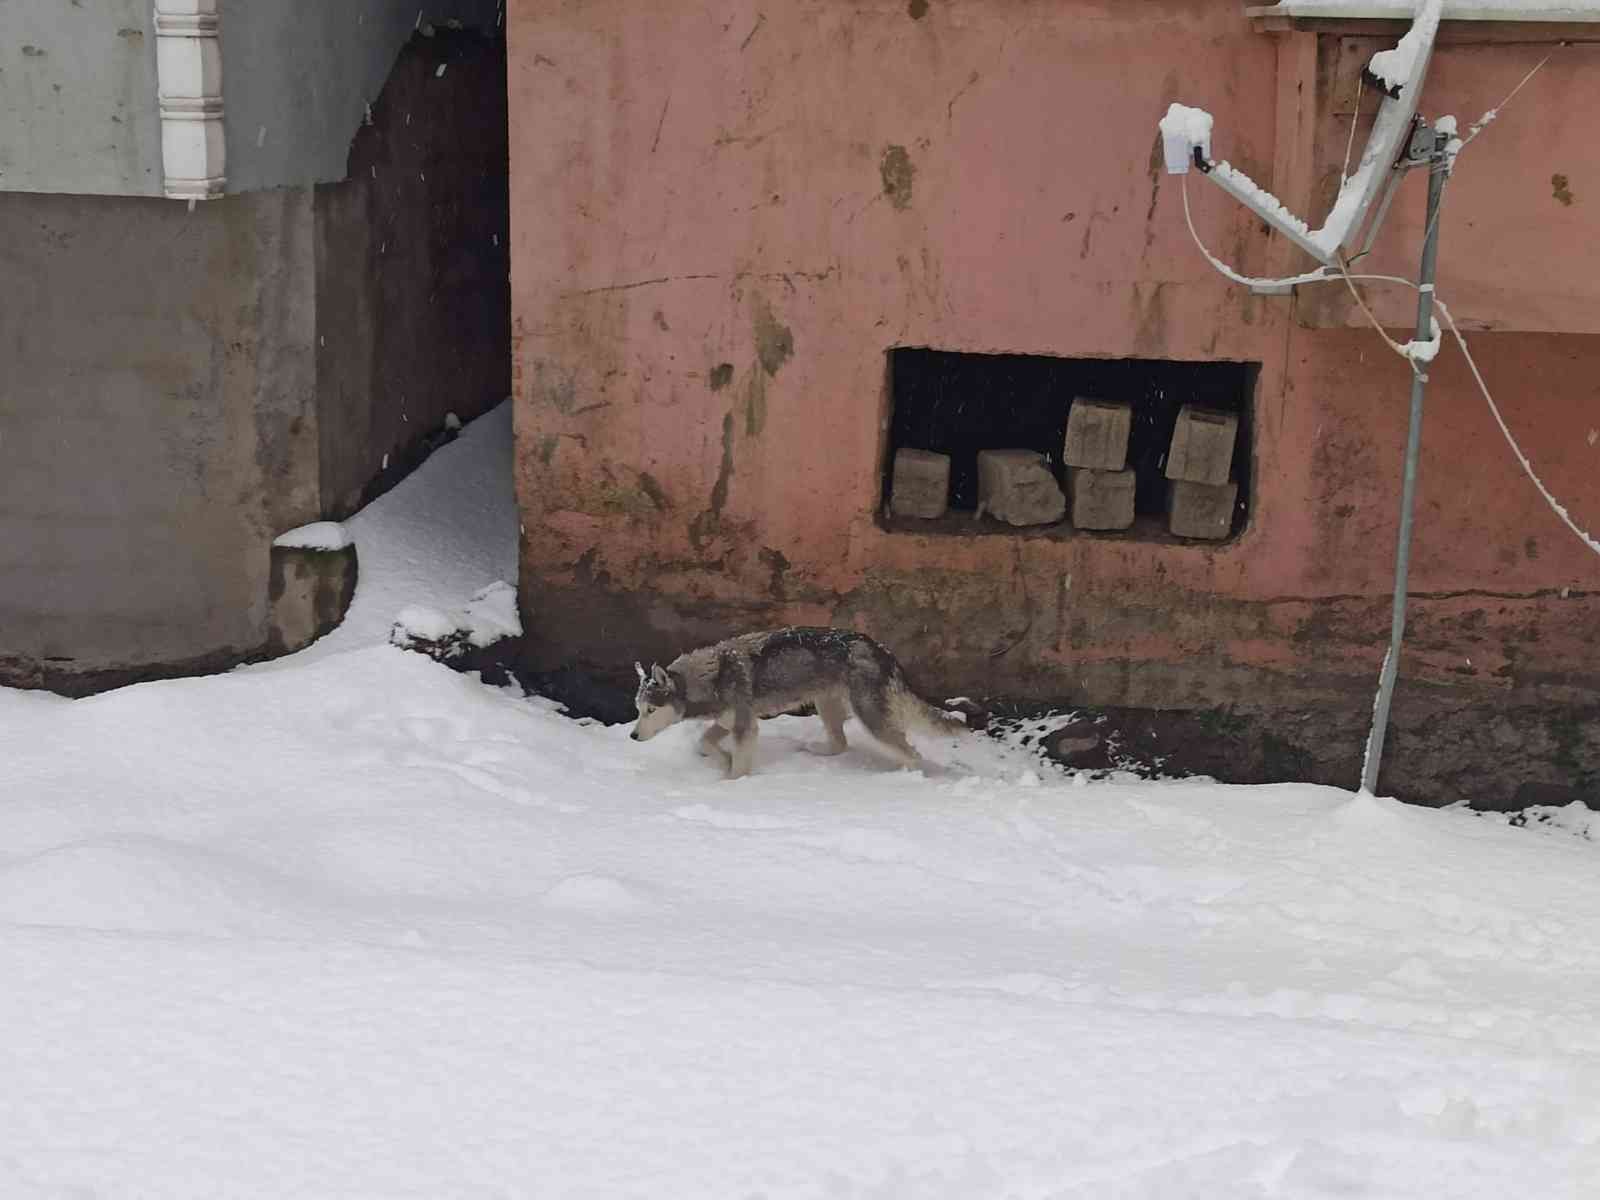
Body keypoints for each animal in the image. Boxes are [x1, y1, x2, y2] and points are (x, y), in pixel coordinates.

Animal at [630, 624, 966, 784]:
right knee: (840, 743)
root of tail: (880, 648)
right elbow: (704, 742)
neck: (710, 676)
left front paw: (730, 781)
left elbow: (738, 766)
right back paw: (816, 750)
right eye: (638, 710)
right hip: (825, 703)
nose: (632, 736)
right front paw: (723, 759)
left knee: (911, 753)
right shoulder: (730, 722)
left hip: (870, 716)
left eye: (651, 710)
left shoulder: (745, 726)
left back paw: (903, 779)